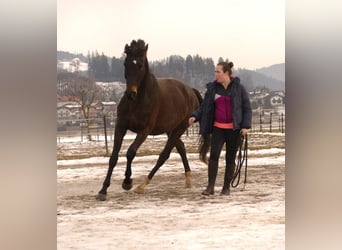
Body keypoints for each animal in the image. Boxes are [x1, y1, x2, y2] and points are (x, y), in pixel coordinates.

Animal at [96, 39, 202, 201]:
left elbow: (130, 152)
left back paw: (142, 185)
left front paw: (127, 182)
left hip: (180, 128)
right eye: (125, 63)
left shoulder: (144, 131)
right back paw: (188, 179)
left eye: (140, 65)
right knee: (181, 148)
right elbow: (113, 157)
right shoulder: (120, 127)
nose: (130, 94)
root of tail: (190, 91)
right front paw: (103, 190)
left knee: (164, 155)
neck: (138, 101)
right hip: (171, 130)